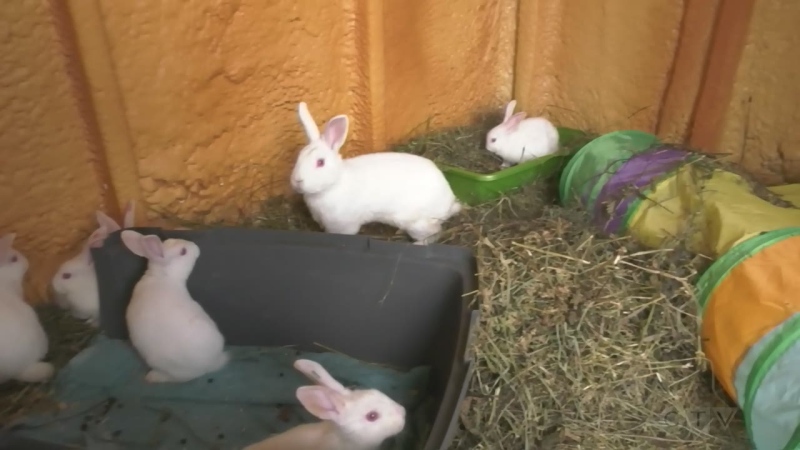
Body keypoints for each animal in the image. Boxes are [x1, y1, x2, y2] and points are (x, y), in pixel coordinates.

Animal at [290, 101, 462, 246]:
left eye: (320, 162)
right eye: (298, 157)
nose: (297, 181)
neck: (333, 184)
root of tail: (449, 201)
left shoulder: (344, 225)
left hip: (417, 224)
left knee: (434, 234)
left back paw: (416, 244)